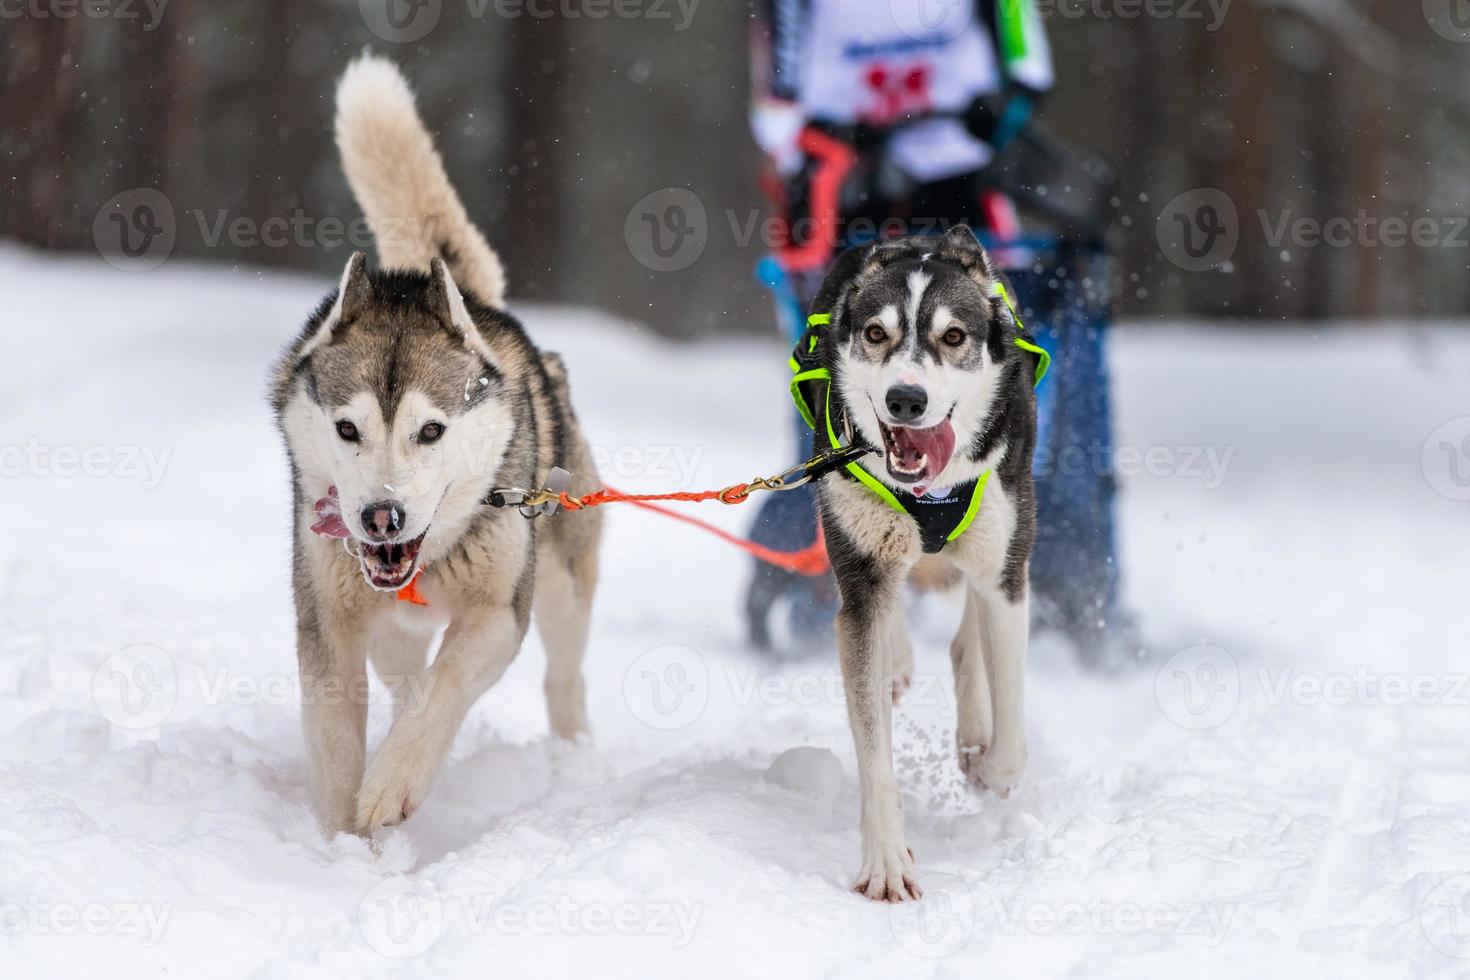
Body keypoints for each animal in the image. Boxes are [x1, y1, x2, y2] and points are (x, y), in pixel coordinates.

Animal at [273, 55, 599, 834]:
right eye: (348, 429)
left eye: (431, 430)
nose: (380, 518)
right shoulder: (327, 613)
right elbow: (336, 730)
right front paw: (340, 836)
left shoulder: (498, 613)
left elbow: (444, 685)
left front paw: (392, 782)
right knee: (401, 669)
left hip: (563, 582)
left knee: (562, 676)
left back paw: (574, 758)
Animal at [799, 226, 1052, 899]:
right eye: (876, 333)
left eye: (954, 336)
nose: (905, 399)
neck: (929, 495)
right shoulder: (862, 577)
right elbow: (874, 753)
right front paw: (886, 863)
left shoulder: (1006, 574)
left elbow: (1012, 722)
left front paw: (991, 768)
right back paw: (898, 664)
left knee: (970, 641)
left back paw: (973, 735)